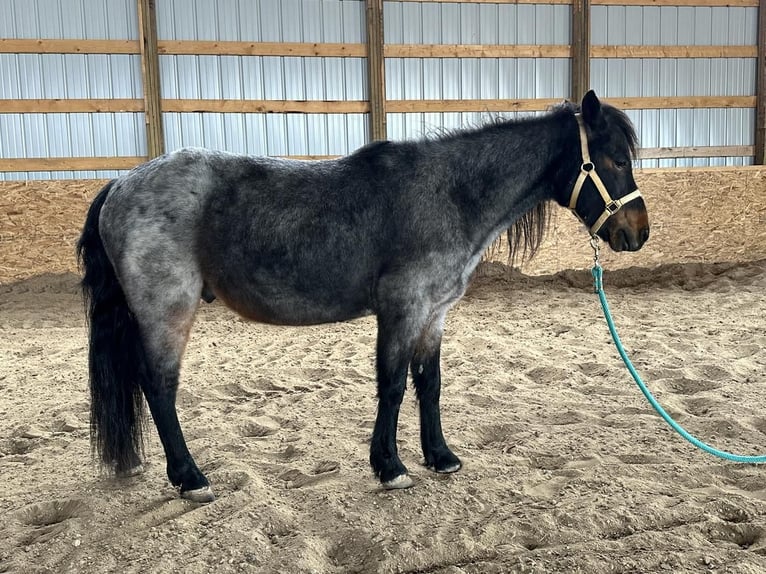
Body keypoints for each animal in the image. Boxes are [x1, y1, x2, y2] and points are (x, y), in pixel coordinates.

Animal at [78, 91, 652, 504]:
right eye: (613, 160)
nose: (639, 232)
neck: (449, 192)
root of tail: (122, 183)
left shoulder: (433, 315)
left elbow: (429, 385)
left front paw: (440, 456)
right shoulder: (403, 309)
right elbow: (393, 387)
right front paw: (390, 467)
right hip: (168, 312)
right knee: (159, 387)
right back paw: (190, 478)